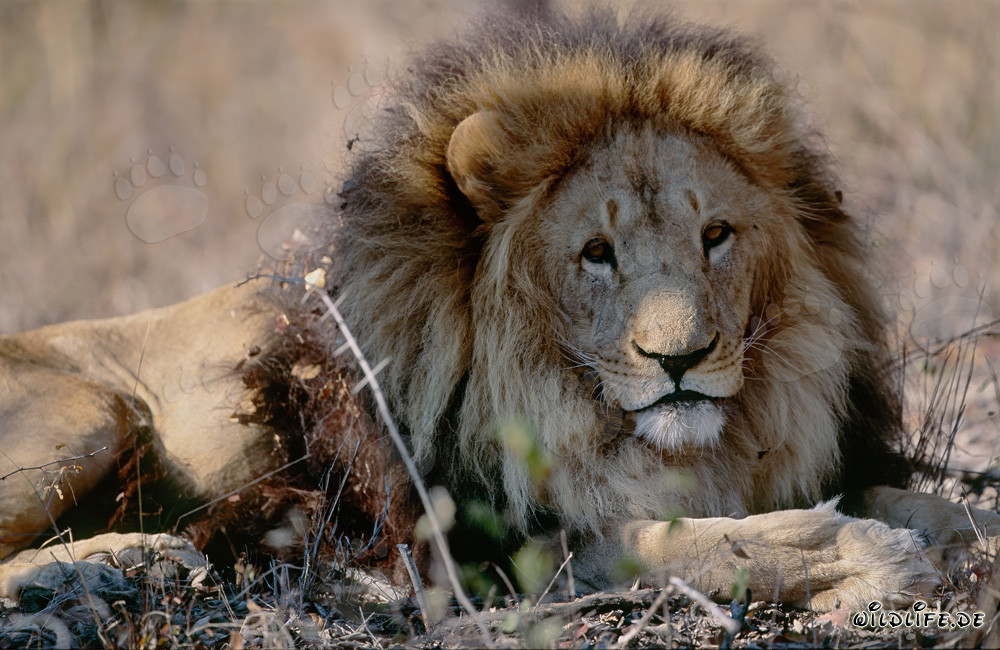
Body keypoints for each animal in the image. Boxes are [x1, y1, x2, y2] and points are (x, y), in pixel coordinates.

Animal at [1, 10, 998, 613]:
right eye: (595, 253)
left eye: (716, 235)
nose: (680, 359)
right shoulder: (486, 547)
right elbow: (695, 546)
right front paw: (873, 559)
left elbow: (934, 507)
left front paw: (952, 540)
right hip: (87, 413)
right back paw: (130, 558)